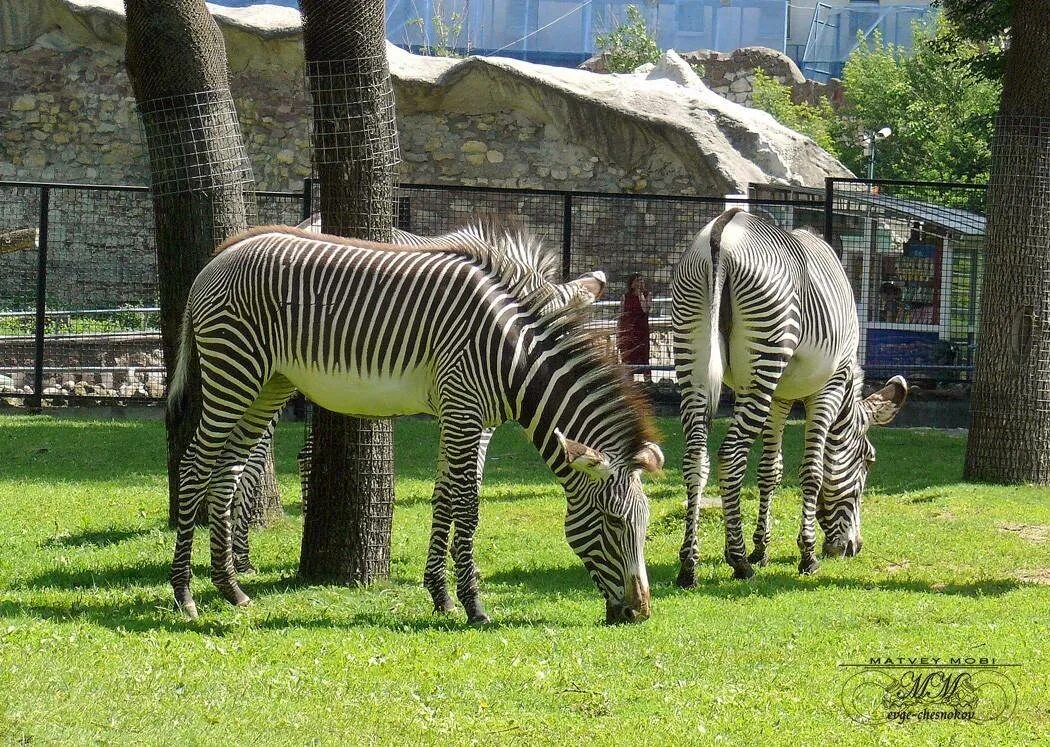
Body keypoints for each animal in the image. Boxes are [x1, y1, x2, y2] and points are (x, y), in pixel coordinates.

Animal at [672, 209, 911, 584]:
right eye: (869, 459)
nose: (852, 548)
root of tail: (724, 230)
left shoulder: (777, 396)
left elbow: (771, 469)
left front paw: (761, 550)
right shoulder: (828, 389)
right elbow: (812, 471)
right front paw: (806, 555)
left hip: (693, 351)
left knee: (696, 455)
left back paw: (689, 565)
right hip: (765, 351)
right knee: (730, 455)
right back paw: (739, 562)